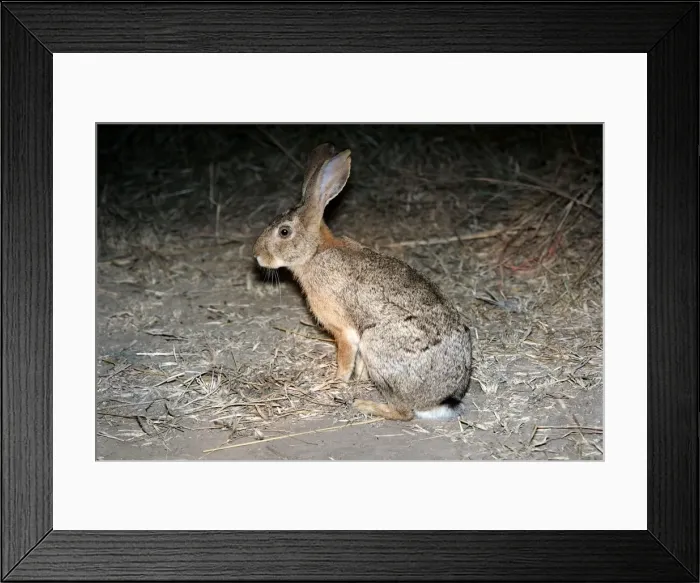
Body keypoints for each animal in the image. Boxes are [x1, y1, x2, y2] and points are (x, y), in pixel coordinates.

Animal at [253, 143, 472, 421]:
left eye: (284, 232)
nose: (257, 255)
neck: (314, 252)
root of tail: (442, 399)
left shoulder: (344, 330)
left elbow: (345, 358)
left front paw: (336, 382)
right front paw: (357, 379)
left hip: (376, 346)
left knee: (405, 412)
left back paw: (365, 405)